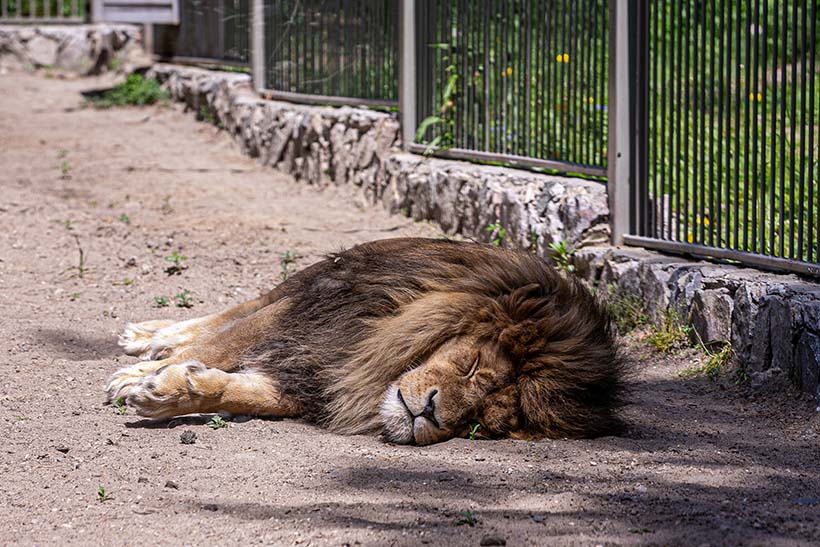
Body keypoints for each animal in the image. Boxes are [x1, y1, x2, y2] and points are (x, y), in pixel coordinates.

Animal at [107, 239, 620, 446]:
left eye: (483, 422)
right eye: (472, 365)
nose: (429, 413)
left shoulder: (321, 378)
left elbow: (241, 390)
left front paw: (171, 388)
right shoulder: (317, 313)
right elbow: (226, 341)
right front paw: (139, 376)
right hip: (317, 277)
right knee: (241, 309)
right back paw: (152, 336)